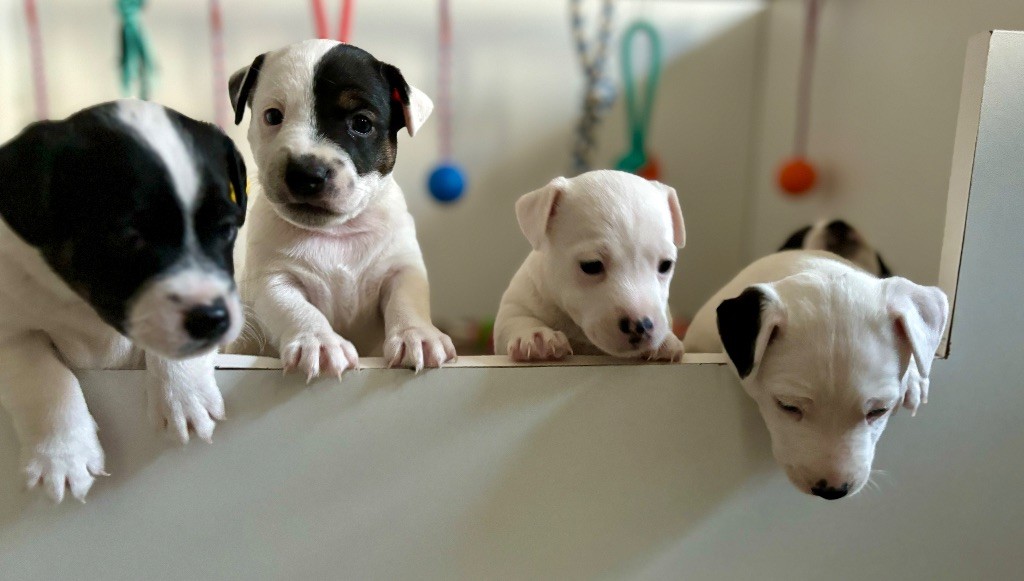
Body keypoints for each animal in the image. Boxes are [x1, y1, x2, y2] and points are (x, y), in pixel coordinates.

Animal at [0, 98, 249, 500]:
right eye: (129, 238)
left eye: (226, 229)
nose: (212, 319)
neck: (87, 312)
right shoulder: (9, 330)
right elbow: (42, 378)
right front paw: (62, 454)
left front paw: (185, 395)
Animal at [232, 39, 456, 377]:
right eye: (272, 116)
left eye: (361, 123)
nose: (305, 173)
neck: (338, 231)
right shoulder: (273, 280)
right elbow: (295, 309)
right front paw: (319, 341)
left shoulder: (401, 268)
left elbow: (408, 299)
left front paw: (418, 335)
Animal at [495, 170, 688, 364]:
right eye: (591, 265)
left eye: (666, 265)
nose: (641, 325)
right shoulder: (519, 301)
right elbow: (516, 318)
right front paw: (536, 336)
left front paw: (666, 341)